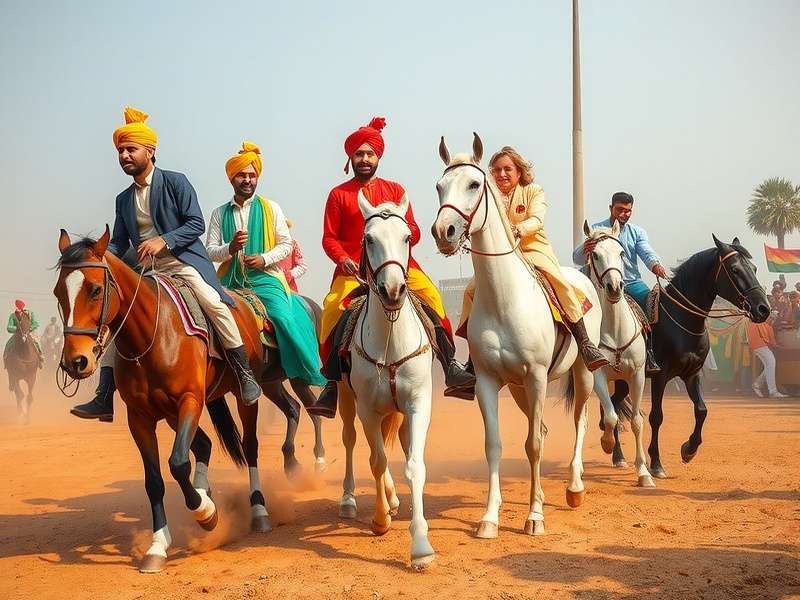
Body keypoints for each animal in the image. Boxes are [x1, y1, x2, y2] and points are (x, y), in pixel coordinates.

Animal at [54, 227, 275, 573]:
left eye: (95, 289)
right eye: (57, 293)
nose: (75, 362)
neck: (151, 335)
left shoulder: (189, 401)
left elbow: (178, 463)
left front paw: (206, 514)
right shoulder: (140, 418)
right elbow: (155, 480)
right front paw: (158, 545)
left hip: (240, 399)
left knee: (249, 446)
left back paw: (258, 511)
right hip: (171, 414)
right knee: (204, 445)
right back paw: (205, 490)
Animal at [337, 191, 436, 569]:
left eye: (407, 237)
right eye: (369, 239)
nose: (392, 289)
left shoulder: (418, 404)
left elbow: (414, 464)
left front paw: (420, 544)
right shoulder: (367, 407)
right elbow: (376, 461)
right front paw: (380, 521)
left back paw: (394, 499)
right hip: (346, 400)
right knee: (352, 441)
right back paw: (349, 500)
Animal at [432, 134, 603, 538]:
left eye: (474, 184)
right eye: (440, 187)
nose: (444, 232)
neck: (505, 298)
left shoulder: (538, 377)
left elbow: (534, 445)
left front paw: (535, 516)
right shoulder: (489, 382)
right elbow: (494, 445)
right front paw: (489, 518)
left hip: (581, 374)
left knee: (580, 420)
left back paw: (574, 487)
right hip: (519, 388)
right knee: (541, 428)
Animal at [581, 220, 654, 488]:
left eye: (622, 253)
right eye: (594, 255)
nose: (614, 287)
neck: (615, 330)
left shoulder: (638, 376)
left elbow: (636, 421)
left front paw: (644, 473)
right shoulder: (599, 375)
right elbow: (611, 418)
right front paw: (606, 443)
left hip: (621, 382)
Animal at [605, 236, 770, 478]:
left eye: (755, 268)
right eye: (735, 269)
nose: (763, 309)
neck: (682, 320)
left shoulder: (692, 374)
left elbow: (701, 410)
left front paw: (689, 449)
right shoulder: (660, 376)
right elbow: (656, 416)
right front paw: (656, 463)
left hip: (625, 380)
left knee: (615, 404)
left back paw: (617, 455)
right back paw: (615, 453)